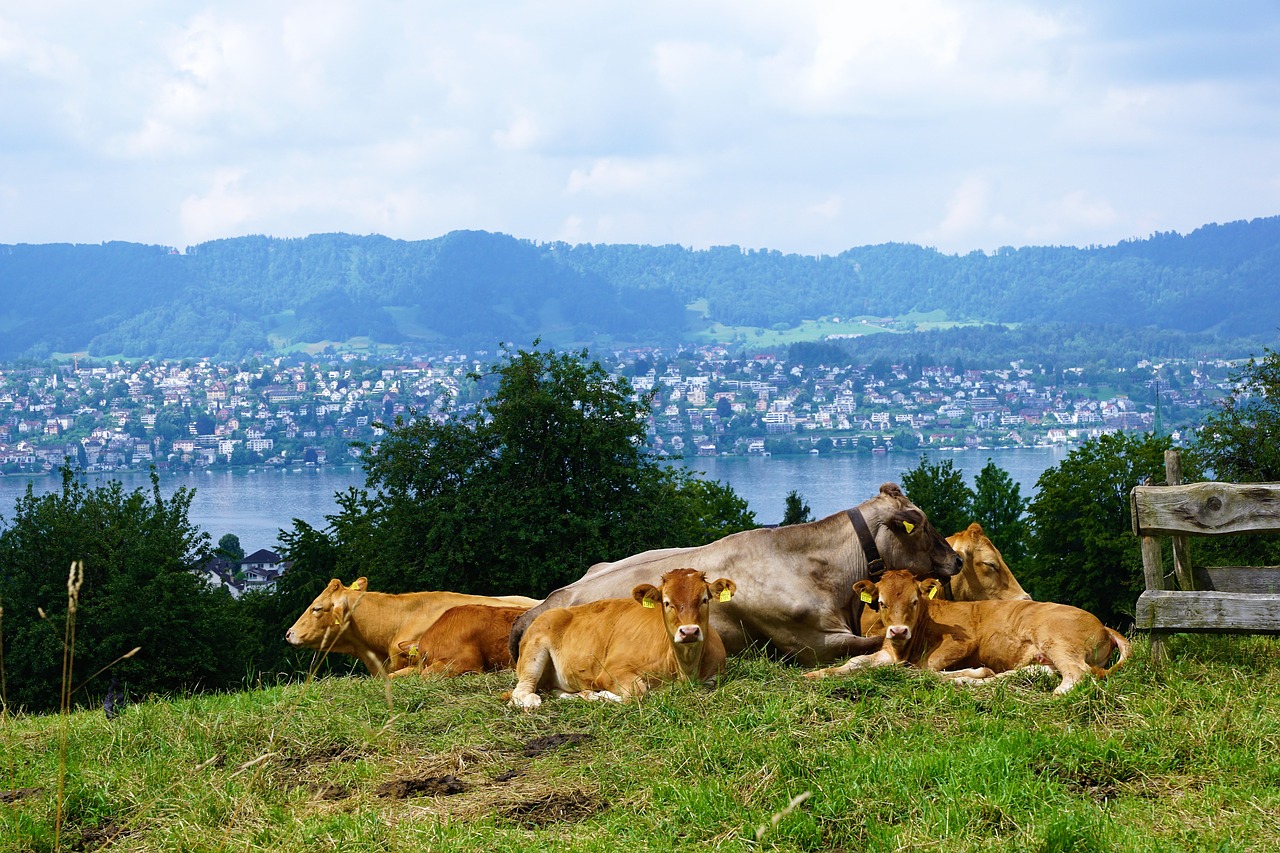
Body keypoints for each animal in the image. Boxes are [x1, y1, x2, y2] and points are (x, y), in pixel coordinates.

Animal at [506, 568, 737, 706]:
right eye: (666, 602)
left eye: (705, 599)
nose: (689, 631)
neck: (685, 670)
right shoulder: (611, 671)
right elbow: (638, 691)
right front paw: (599, 695)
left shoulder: (716, 672)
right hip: (533, 653)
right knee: (521, 691)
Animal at [808, 568, 1131, 696]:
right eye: (881, 603)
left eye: (914, 601)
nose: (898, 631)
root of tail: (1101, 623)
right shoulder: (887, 650)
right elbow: (855, 661)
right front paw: (816, 674)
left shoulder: (962, 642)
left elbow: (927, 668)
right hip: (1043, 658)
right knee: (1031, 673)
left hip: (1057, 639)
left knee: (1077, 674)